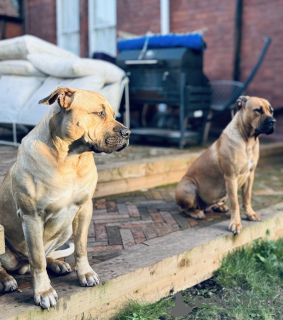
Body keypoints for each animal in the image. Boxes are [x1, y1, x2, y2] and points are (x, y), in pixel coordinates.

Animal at [0, 86, 130, 308]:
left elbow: (81, 247)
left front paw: (85, 273)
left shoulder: (84, 208)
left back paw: (57, 264)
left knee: (45, 255)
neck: (70, 160)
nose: (128, 133)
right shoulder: (31, 217)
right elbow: (37, 259)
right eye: (99, 113)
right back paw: (6, 279)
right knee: (19, 263)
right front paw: (43, 291)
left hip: (65, 228)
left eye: (114, 114)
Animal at [176, 96, 276, 234]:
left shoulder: (250, 176)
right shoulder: (231, 177)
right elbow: (235, 204)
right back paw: (196, 212)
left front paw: (250, 214)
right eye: (258, 110)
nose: (273, 121)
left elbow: (247, 198)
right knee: (183, 209)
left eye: (271, 111)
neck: (248, 141)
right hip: (188, 187)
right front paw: (235, 223)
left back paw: (219, 206)